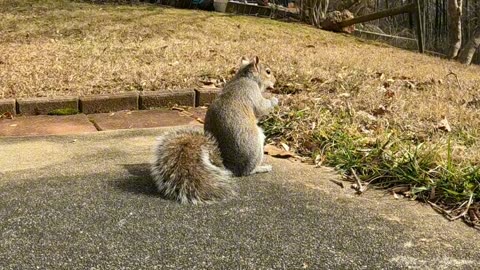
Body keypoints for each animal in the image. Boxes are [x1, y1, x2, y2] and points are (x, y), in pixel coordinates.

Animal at [150, 57, 278, 205]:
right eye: (268, 72)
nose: (275, 81)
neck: (245, 77)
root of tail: (229, 167)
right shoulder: (252, 92)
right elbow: (262, 108)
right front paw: (275, 99)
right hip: (256, 146)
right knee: (247, 172)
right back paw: (261, 168)